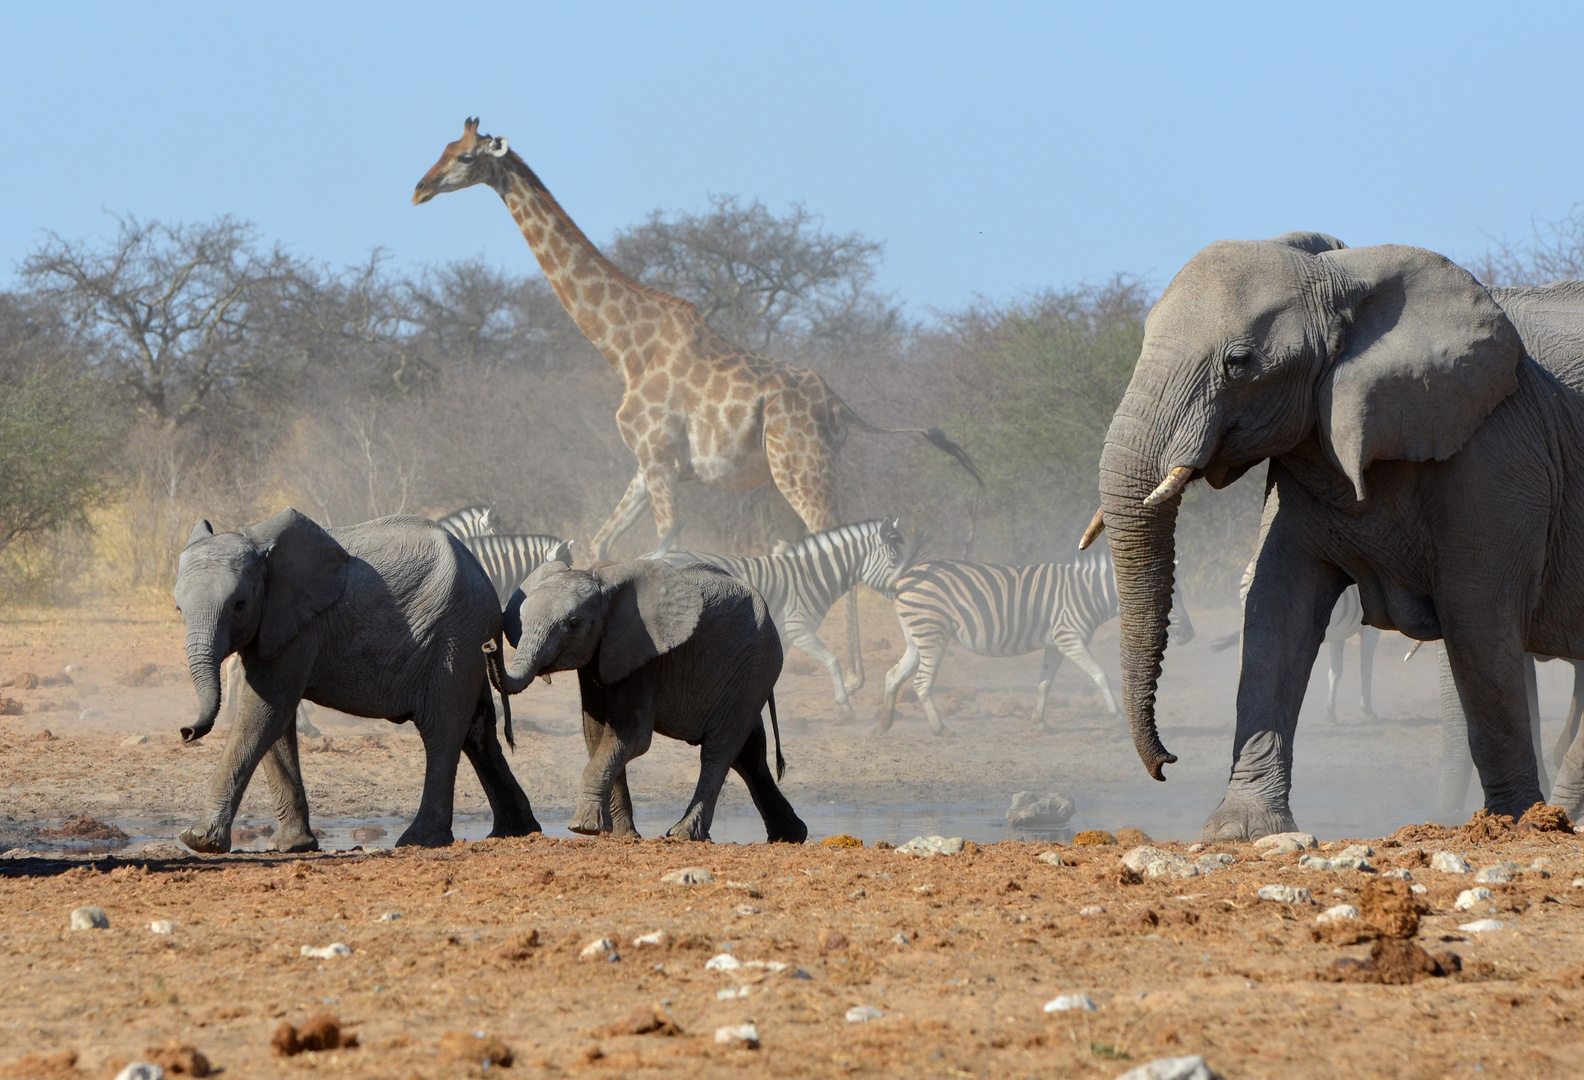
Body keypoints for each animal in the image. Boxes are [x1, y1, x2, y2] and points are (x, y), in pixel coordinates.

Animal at [415, 117, 975, 693]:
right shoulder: (648, 464)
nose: (420, 188)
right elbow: (601, 540)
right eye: (445, 147)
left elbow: (661, 545)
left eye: (464, 158)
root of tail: (841, 407)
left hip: (802, 469)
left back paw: (858, 675)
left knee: (834, 537)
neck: (627, 348)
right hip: (808, 470)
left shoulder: (660, 463)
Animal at [494, 554, 804, 842]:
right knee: (748, 753)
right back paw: (790, 835)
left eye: (573, 623)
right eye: (521, 617)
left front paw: (583, 827)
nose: (489, 645)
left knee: (720, 749)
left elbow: (631, 735)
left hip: (756, 666)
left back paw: (683, 834)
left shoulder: (646, 651)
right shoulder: (599, 654)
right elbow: (597, 735)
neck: (603, 583)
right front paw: (620, 836)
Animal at [649, 519, 912, 718]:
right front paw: (845, 706)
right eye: (894, 561)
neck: (811, 576)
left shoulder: (784, 635)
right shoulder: (798, 628)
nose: (905, 589)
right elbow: (832, 661)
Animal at [874, 547, 1191, 731]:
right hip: (932, 633)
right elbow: (1100, 674)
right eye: (1169, 597)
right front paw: (1116, 716)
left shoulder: (1056, 645)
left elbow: (1045, 684)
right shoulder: (1070, 638)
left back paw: (884, 724)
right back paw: (940, 728)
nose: (1191, 634)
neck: (1089, 594)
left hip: (916, 635)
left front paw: (1040, 722)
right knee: (920, 683)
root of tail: (905, 577)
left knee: (893, 675)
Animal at [1083, 231, 1584, 836]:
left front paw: (1514, 825)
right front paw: (1241, 829)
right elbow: (1276, 608)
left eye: (1238, 363)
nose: (1166, 763)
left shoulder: (1498, 449)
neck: (1344, 276)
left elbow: (1478, 620)